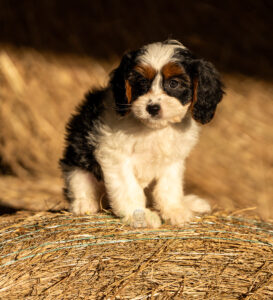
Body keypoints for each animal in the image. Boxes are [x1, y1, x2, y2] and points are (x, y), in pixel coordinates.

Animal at [60, 39, 224, 227]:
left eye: (174, 83)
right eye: (141, 82)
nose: (152, 108)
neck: (154, 129)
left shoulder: (173, 160)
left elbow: (169, 187)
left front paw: (174, 210)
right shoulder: (115, 156)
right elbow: (129, 189)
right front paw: (139, 216)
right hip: (77, 156)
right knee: (78, 180)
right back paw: (83, 204)